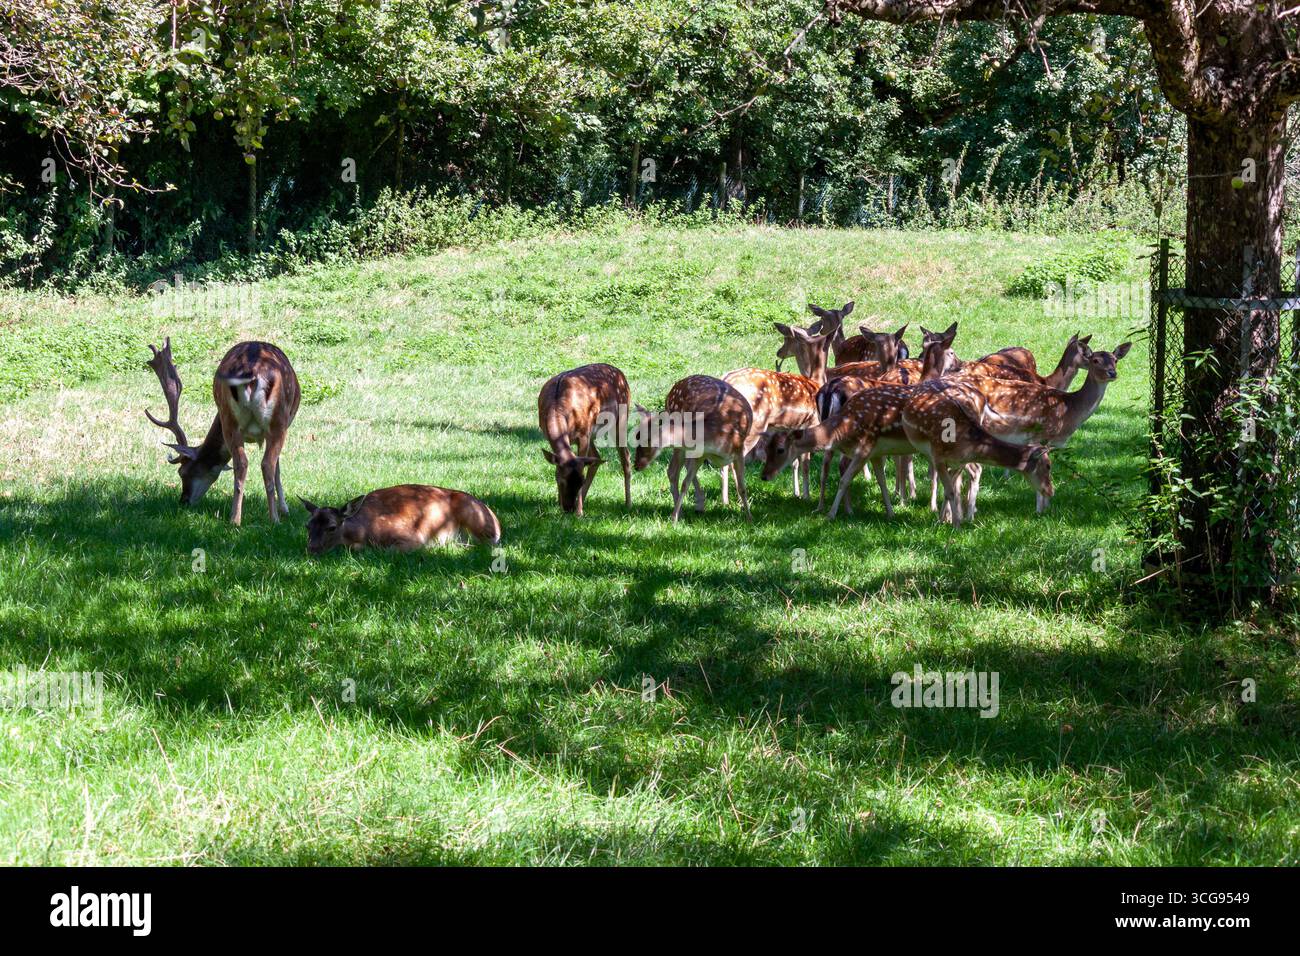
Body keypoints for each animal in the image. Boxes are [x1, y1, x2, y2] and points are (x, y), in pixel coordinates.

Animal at [145, 338, 300, 525]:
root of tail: (252, 373)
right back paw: (270, 519)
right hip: (276, 422)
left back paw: (238, 519)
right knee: (265, 464)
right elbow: (278, 466)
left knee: (244, 463)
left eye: (182, 472)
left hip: (234, 420)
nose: (183, 501)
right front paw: (285, 509)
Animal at [538, 363, 632, 516]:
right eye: (560, 480)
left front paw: (579, 512)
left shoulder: (583, 435)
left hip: (621, 418)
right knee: (597, 458)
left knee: (626, 457)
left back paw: (628, 504)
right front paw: (559, 504)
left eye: (580, 482)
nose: (568, 508)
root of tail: (621, 374)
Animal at [634, 375, 754, 522]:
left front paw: (749, 518)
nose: (636, 465)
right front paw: (674, 518)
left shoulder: (739, 451)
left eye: (647, 439)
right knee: (673, 471)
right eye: (636, 436)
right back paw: (691, 509)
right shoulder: (700, 453)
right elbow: (685, 483)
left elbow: (742, 487)